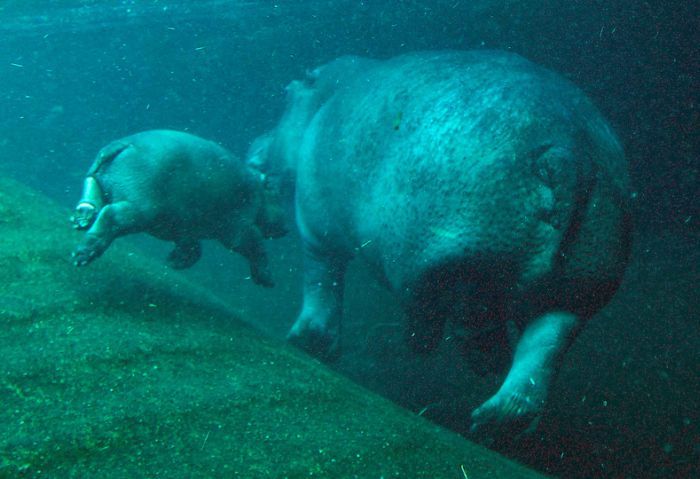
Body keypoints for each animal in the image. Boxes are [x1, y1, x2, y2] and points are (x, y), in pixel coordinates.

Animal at [72, 129, 286, 286]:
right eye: (276, 192)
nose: (287, 228)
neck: (258, 189)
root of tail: (123, 143)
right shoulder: (238, 226)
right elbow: (256, 246)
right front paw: (267, 279)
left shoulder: (183, 227)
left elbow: (193, 249)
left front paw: (173, 262)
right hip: (141, 209)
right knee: (110, 215)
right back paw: (82, 254)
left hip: (96, 181)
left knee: (90, 201)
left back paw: (81, 221)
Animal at [249, 50, 632, 434]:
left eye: (287, 92)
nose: (253, 142)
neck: (327, 94)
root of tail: (568, 153)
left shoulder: (315, 228)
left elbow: (321, 282)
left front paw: (305, 341)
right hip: (582, 283)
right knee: (543, 347)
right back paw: (494, 419)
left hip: (463, 261)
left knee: (469, 317)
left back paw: (464, 363)